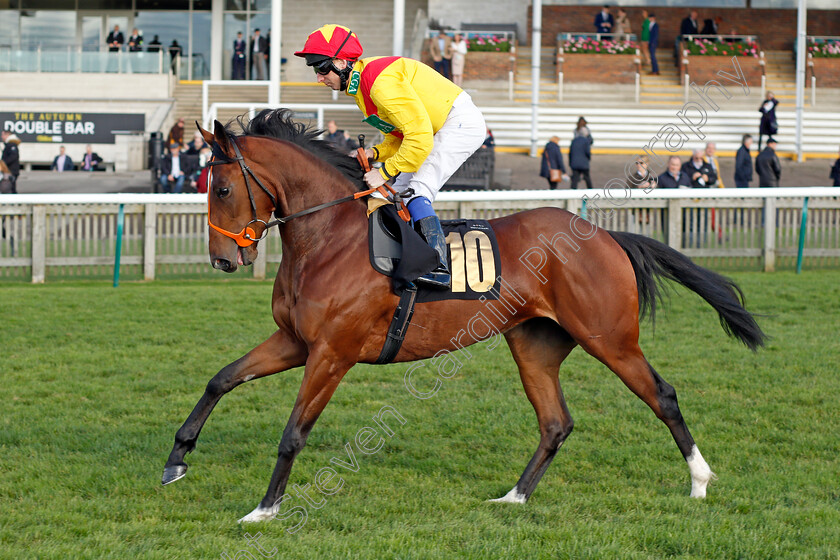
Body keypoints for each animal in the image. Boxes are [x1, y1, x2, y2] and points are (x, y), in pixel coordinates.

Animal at [161, 109, 764, 520]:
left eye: (220, 186)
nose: (222, 259)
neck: (330, 238)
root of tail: (604, 235)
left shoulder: (332, 353)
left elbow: (293, 432)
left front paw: (264, 509)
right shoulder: (294, 341)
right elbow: (220, 379)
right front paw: (177, 460)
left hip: (609, 337)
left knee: (662, 395)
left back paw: (699, 481)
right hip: (534, 343)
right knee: (556, 422)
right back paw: (514, 496)